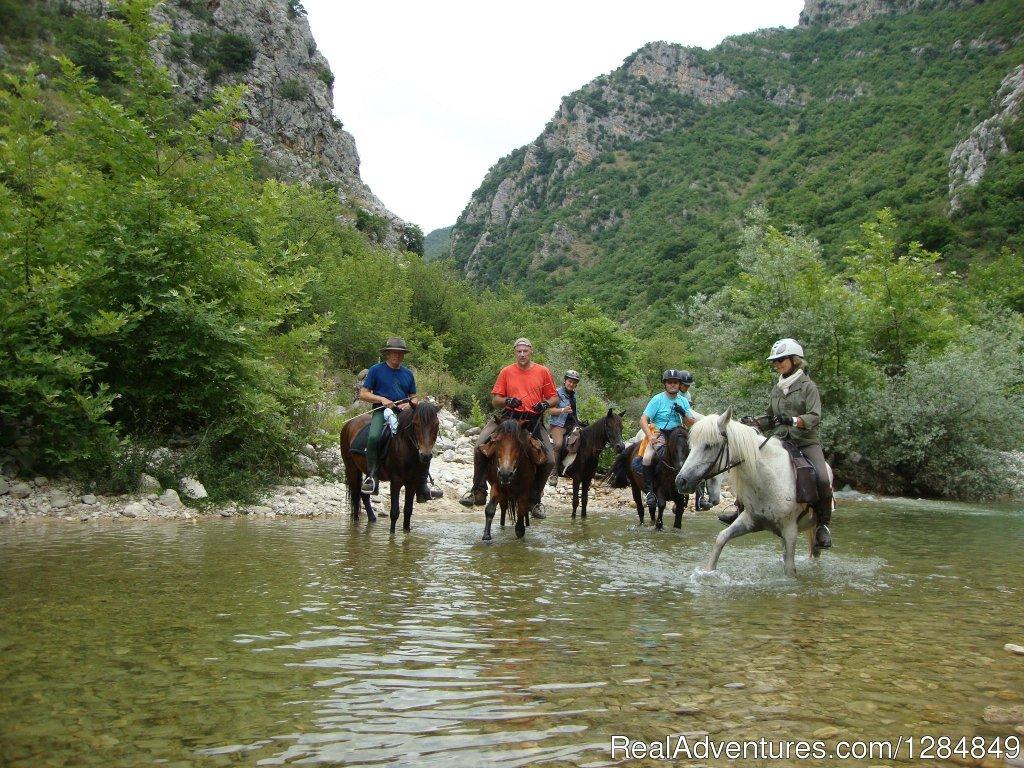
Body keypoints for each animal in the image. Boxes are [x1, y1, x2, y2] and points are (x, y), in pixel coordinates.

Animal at [339, 403, 440, 536]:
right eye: (415, 423)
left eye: (436, 424)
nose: (425, 456)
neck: (405, 447)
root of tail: (349, 423)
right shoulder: (395, 481)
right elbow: (395, 512)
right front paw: (392, 535)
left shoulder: (412, 483)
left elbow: (408, 511)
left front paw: (406, 532)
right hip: (352, 468)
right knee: (356, 497)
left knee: (365, 494)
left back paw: (372, 519)